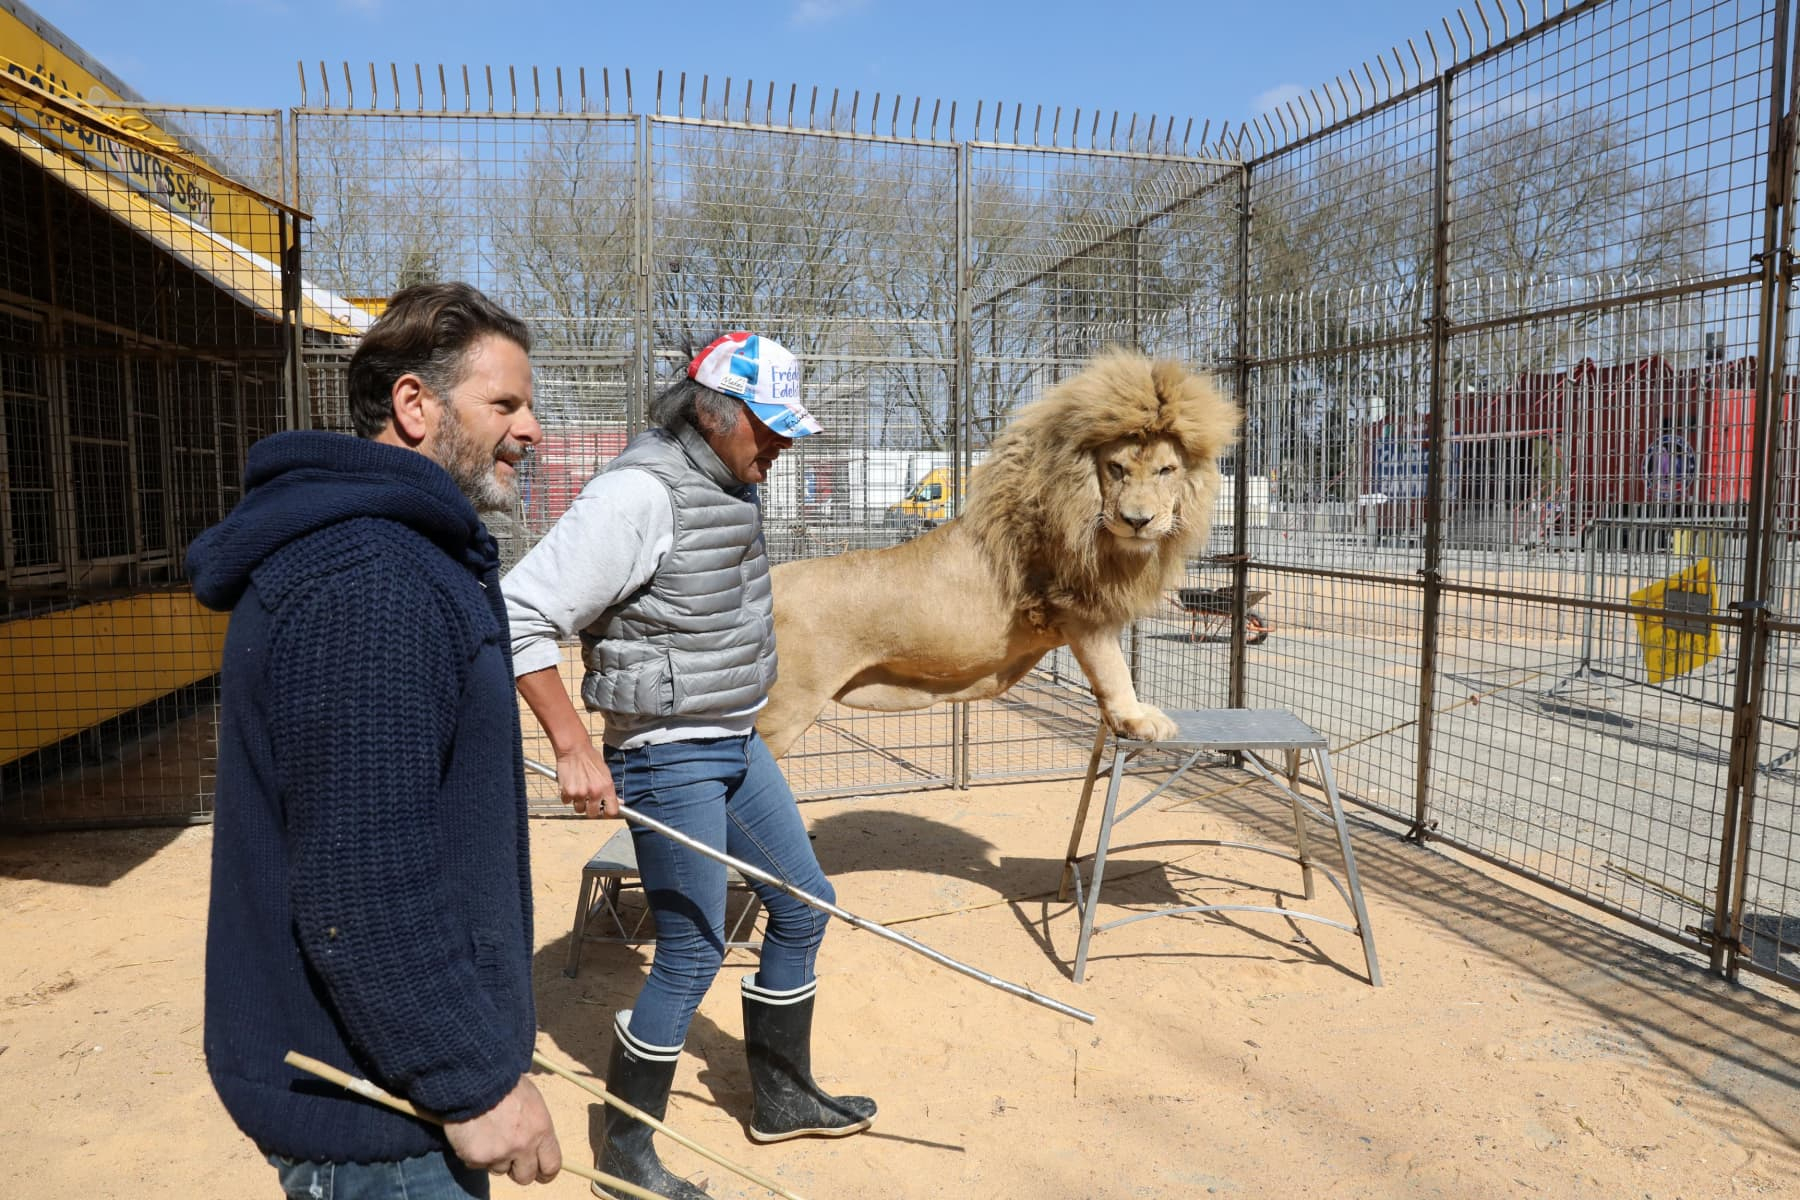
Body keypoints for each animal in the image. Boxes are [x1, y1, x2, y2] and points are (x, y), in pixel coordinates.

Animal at [756, 349, 1238, 759]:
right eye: (1116, 468)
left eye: (1166, 470)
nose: (1137, 520)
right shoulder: (1077, 607)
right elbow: (1113, 669)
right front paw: (1136, 719)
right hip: (781, 709)